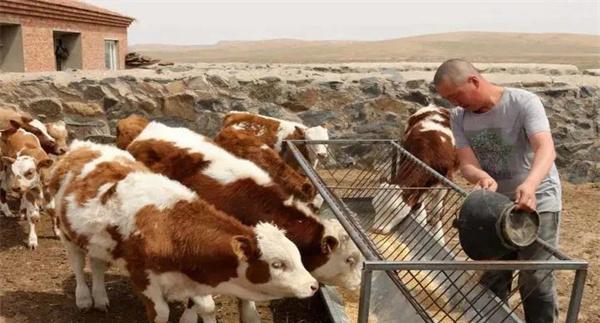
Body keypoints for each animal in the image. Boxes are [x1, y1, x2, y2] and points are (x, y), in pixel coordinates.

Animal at [47, 141, 318, 323]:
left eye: (297, 255)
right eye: (277, 264)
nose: (313, 286)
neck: (168, 228)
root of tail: (82, 146)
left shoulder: (195, 276)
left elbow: (207, 307)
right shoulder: (143, 278)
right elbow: (161, 313)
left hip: (96, 243)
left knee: (97, 265)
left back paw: (101, 297)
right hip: (67, 235)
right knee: (78, 266)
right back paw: (84, 298)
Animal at [368, 105, 458, 244]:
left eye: (394, 210)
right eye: (374, 204)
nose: (377, 229)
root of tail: (436, 107)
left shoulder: (446, 183)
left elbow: (437, 214)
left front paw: (439, 239)